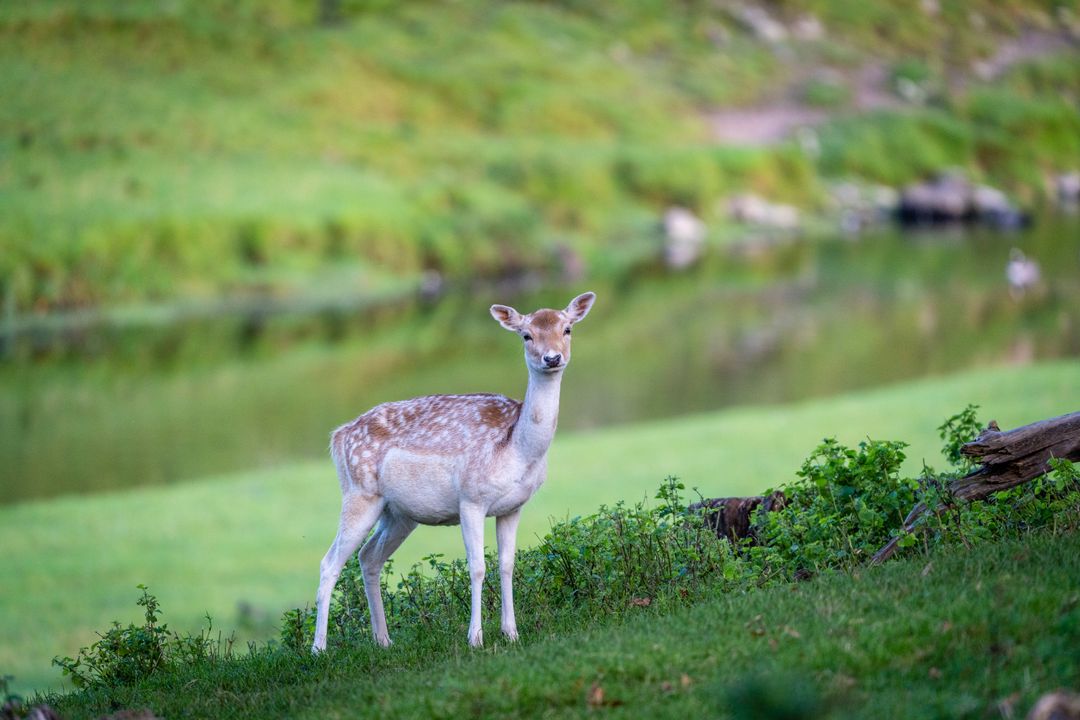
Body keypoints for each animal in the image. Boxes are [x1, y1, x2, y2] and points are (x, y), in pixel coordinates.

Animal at [311, 291, 596, 652]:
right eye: (526, 335)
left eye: (567, 329)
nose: (552, 357)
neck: (517, 449)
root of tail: (338, 436)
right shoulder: (470, 499)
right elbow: (477, 567)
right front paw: (475, 638)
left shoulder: (514, 506)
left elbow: (507, 565)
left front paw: (511, 633)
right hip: (359, 493)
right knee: (329, 563)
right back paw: (319, 649)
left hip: (399, 513)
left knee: (368, 557)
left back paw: (384, 640)